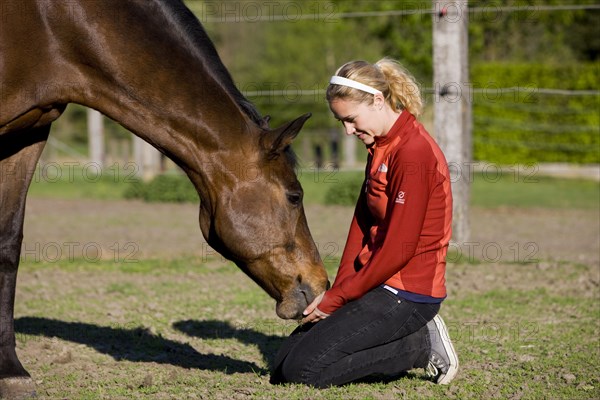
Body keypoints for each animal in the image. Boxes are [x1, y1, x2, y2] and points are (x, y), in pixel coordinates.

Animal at [0, 0, 328, 394]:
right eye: (294, 196)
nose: (321, 284)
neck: (54, 26)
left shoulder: (28, 134)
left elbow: (8, 244)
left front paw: (10, 372)